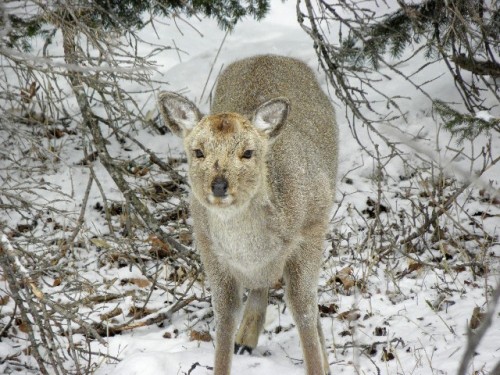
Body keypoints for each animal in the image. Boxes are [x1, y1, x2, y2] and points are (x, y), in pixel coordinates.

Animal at [158, 53, 338, 375]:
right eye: (198, 152)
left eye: (248, 152)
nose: (219, 185)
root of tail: (267, 55)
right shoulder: (208, 246)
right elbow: (225, 314)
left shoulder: (312, 228)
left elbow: (303, 306)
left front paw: (322, 366)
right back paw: (246, 339)